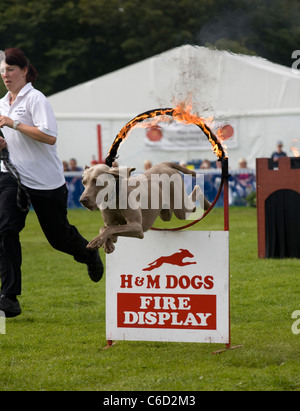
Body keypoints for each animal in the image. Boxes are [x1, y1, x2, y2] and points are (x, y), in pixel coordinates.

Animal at [79, 162, 211, 254]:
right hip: (165, 212)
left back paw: (207, 204)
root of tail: (164, 164)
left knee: (196, 191)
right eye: (84, 182)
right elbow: (105, 228)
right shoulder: (112, 227)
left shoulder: (137, 228)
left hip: (180, 207)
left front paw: (97, 241)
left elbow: (110, 229)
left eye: (97, 181)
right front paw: (105, 244)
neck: (114, 198)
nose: (82, 200)